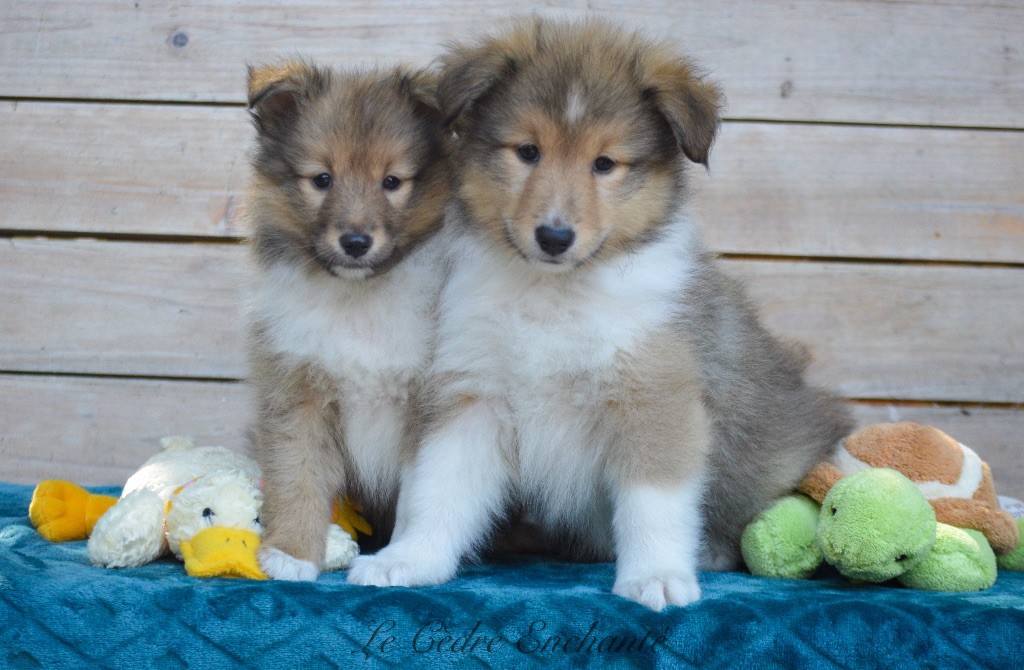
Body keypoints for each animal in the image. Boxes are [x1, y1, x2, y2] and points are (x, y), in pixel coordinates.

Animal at [243, 60, 448, 581]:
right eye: (321, 179)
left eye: (392, 182)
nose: (355, 242)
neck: (359, 297)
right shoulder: (297, 392)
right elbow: (297, 475)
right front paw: (291, 554)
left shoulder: (423, 405)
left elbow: (418, 497)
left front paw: (397, 561)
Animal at [348, 18, 851, 610]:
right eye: (527, 151)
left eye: (605, 164)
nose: (554, 236)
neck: (556, 293)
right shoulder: (475, 393)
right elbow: (438, 489)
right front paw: (406, 560)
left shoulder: (653, 393)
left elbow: (652, 501)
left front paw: (656, 576)